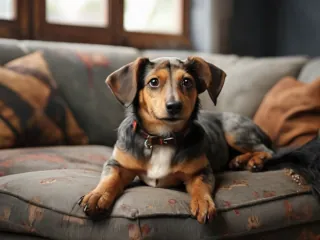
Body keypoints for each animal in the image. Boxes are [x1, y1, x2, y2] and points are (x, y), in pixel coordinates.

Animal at [78, 55, 276, 223]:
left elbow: (200, 186)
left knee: (267, 150)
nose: (174, 106)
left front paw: (204, 203)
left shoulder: (201, 170)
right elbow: (109, 179)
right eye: (154, 82)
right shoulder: (117, 164)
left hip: (234, 131)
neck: (162, 138)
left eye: (187, 82)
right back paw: (239, 161)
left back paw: (253, 161)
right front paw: (97, 196)